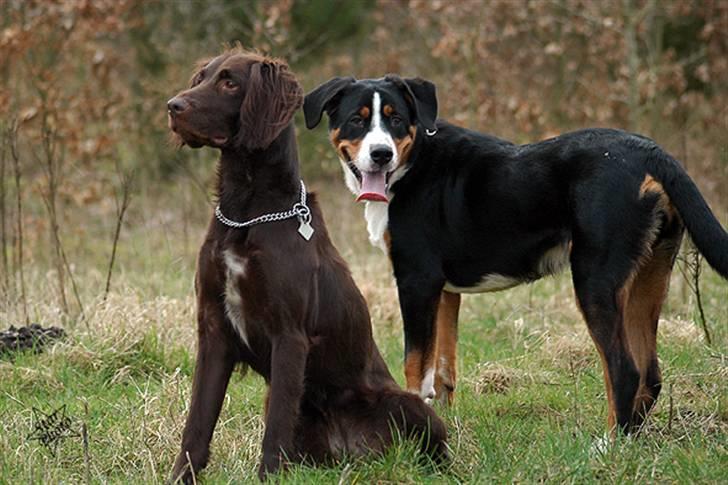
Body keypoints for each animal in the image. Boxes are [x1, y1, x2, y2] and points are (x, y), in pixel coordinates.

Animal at [167, 48, 446, 480]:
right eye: (201, 78)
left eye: (229, 82)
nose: (172, 106)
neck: (247, 213)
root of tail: (351, 450)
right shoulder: (213, 328)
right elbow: (197, 423)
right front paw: (182, 477)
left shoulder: (290, 334)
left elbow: (276, 429)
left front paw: (266, 479)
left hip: (411, 404)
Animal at [304, 76, 728, 434]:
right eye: (357, 121)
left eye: (395, 120)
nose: (380, 154)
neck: (412, 164)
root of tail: (650, 151)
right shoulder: (444, 291)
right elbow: (442, 370)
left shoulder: (416, 280)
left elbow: (415, 366)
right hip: (648, 279)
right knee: (649, 374)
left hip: (595, 280)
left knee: (624, 371)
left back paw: (607, 447)